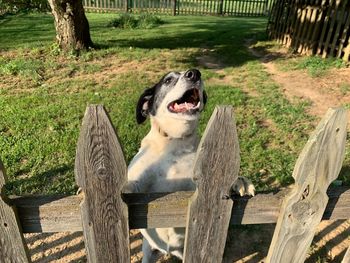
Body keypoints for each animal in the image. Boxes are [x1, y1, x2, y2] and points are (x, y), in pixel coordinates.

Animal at [126, 69, 254, 262]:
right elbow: (129, 184)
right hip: (148, 252)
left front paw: (240, 181)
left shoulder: (198, 185)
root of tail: (170, 251)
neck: (175, 143)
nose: (194, 73)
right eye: (168, 80)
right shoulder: (139, 182)